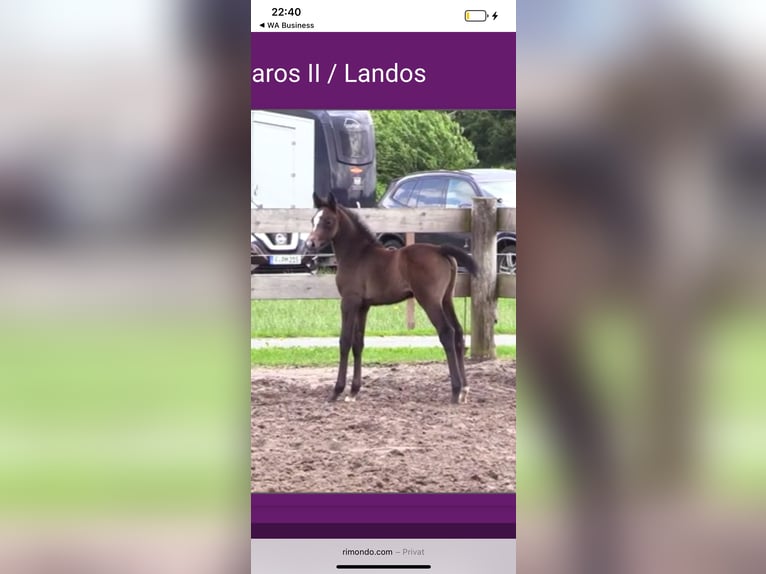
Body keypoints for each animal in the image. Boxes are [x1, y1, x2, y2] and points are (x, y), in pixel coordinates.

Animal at [304, 191, 479, 404]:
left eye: (328, 221)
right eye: (313, 220)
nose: (310, 243)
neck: (357, 255)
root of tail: (440, 250)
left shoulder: (349, 302)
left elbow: (344, 341)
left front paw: (336, 391)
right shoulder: (363, 306)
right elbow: (358, 343)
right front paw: (353, 391)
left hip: (430, 301)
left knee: (447, 332)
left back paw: (455, 391)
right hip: (446, 299)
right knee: (459, 333)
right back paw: (465, 390)